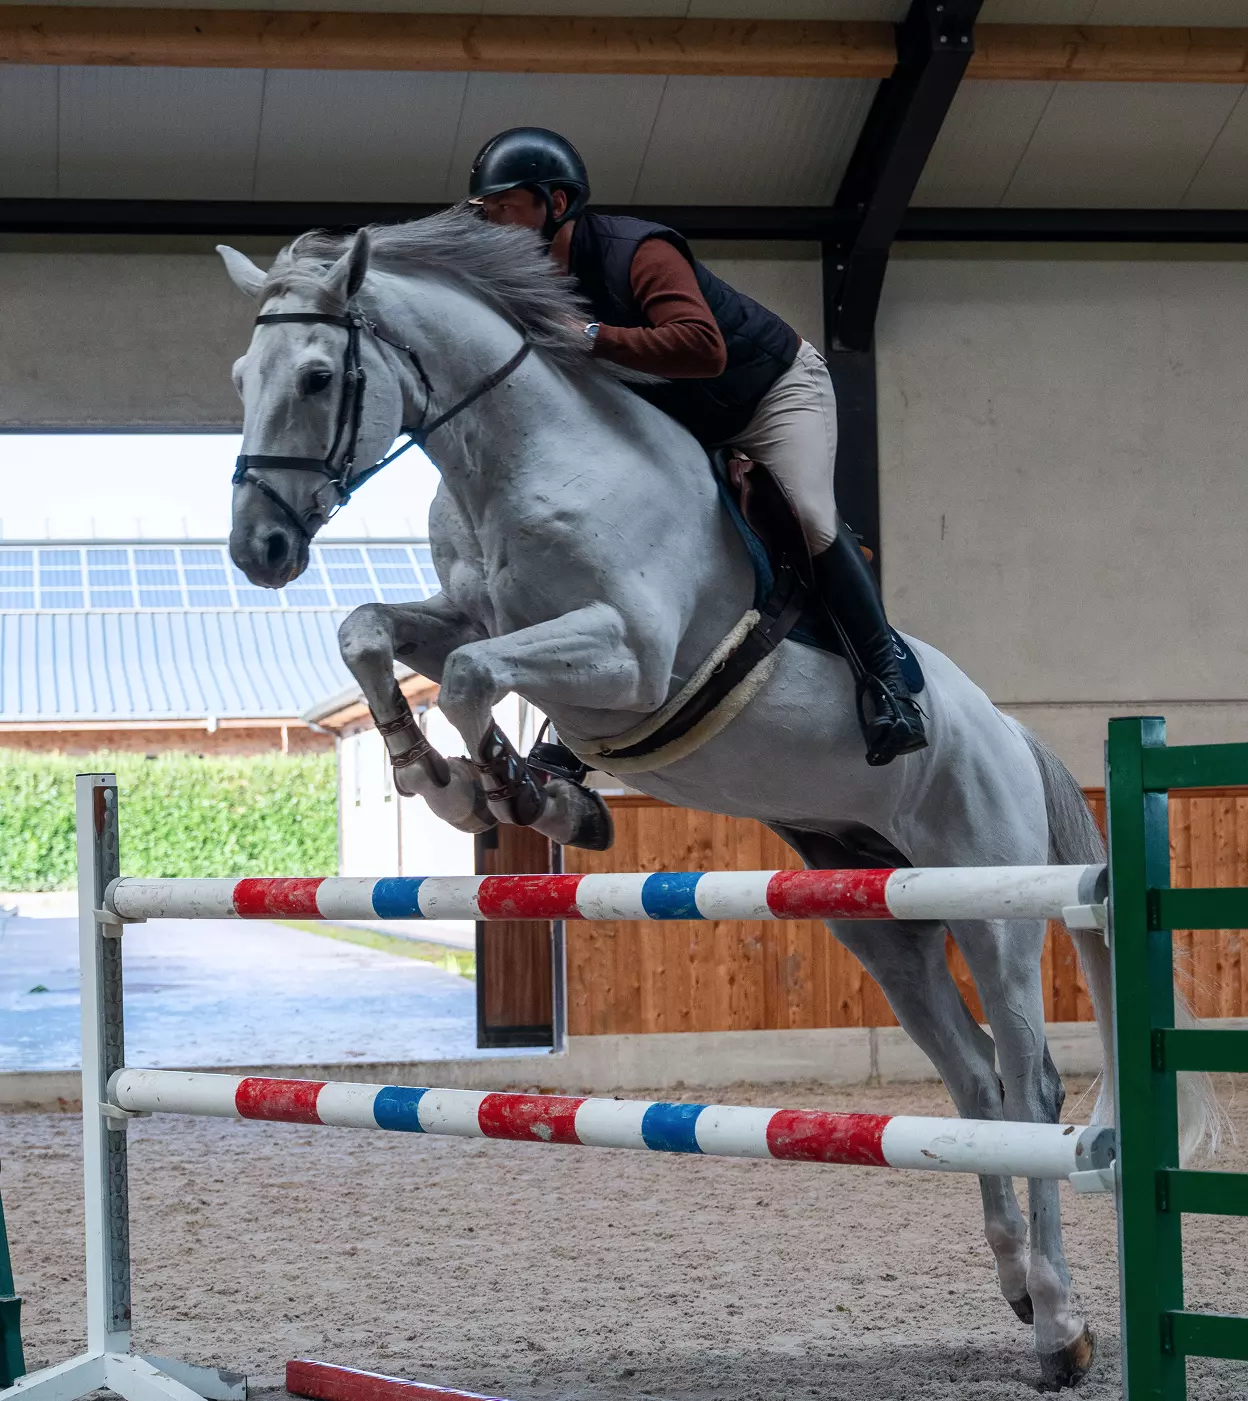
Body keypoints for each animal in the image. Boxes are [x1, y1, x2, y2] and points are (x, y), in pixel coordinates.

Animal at [217, 209, 1210, 1390]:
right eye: (243, 377)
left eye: (319, 376)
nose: (259, 549)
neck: (513, 457)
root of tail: (1014, 735)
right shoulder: (480, 618)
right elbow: (374, 632)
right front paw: (442, 773)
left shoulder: (630, 659)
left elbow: (467, 676)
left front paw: (505, 791)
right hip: (883, 920)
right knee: (972, 1082)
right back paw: (1017, 1285)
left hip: (991, 900)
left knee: (1031, 1084)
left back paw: (1060, 1328)